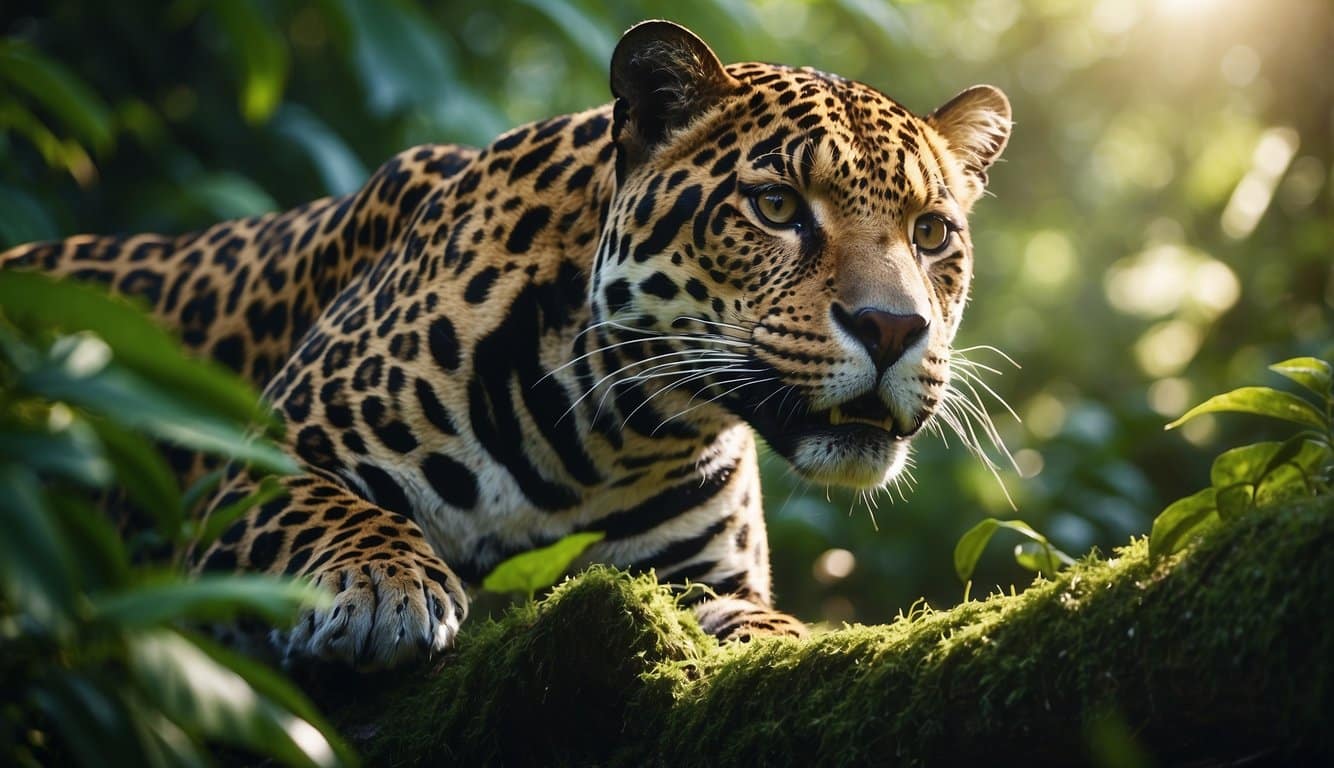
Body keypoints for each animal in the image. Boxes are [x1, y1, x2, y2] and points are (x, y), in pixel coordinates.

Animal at [0, 21, 1011, 670]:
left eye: (931, 234)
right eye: (774, 207)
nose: (894, 328)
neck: (609, 434)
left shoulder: (697, 576)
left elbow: (762, 622)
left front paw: (784, 638)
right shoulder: (239, 462)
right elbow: (331, 509)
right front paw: (386, 586)